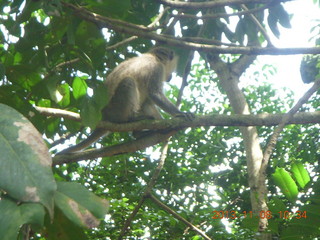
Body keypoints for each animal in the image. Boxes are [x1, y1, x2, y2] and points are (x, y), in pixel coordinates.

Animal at [58, 47, 194, 154]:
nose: (170, 77)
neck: (153, 57)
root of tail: (104, 116)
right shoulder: (157, 68)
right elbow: (155, 94)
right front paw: (179, 114)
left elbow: (148, 102)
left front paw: (163, 127)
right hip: (116, 109)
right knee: (129, 81)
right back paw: (131, 118)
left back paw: (138, 133)